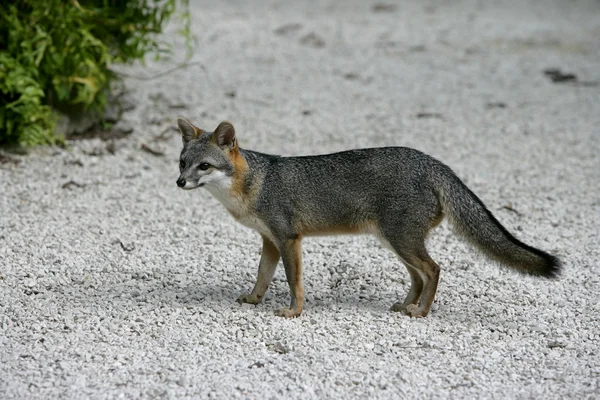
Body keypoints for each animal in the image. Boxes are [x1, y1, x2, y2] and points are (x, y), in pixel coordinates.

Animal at [176, 117, 560, 318]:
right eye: (182, 162)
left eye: (204, 166)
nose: (179, 182)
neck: (255, 183)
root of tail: (432, 162)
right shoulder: (270, 241)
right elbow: (262, 276)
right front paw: (255, 299)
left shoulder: (288, 239)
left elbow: (292, 281)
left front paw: (293, 312)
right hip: (395, 242)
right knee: (419, 276)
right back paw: (407, 304)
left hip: (402, 241)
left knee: (434, 269)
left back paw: (420, 311)